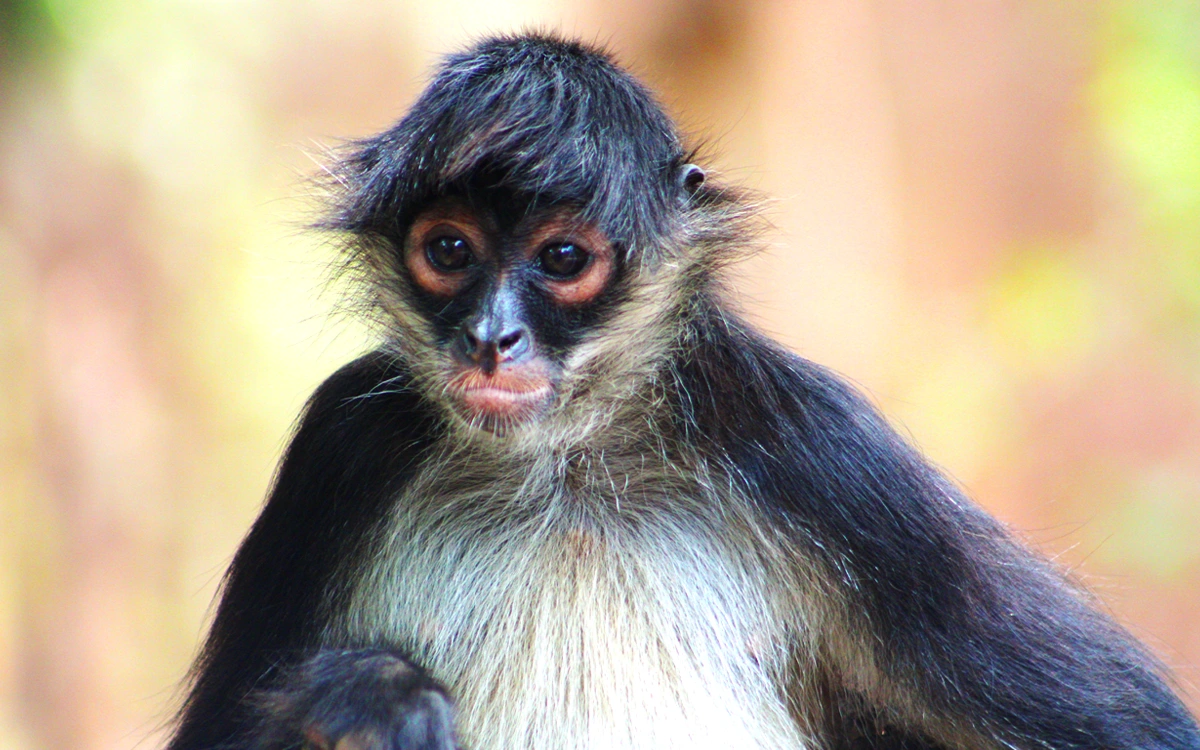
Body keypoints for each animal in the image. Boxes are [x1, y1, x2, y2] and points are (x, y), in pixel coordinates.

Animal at [169, 30, 1200, 748]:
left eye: (565, 259)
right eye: (449, 250)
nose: (492, 340)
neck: (564, 468)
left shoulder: (812, 442)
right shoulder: (345, 438)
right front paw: (367, 698)